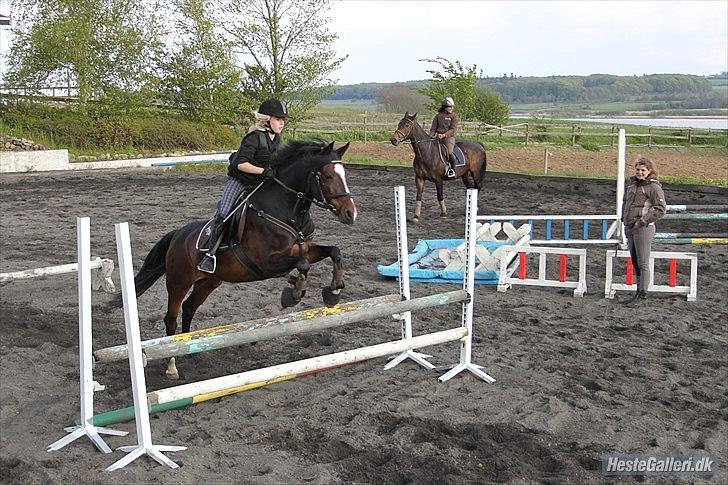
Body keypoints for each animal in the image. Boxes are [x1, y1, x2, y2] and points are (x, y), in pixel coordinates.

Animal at [125, 139, 357, 379]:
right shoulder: (267, 263)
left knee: (189, 307)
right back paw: (172, 365)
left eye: (344, 175)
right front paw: (294, 293)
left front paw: (333, 291)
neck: (288, 212)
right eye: (328, 176)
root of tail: (178, 235)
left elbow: (334, 252)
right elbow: (303, 265)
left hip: (208, 282)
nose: (351, 214)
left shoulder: (305, 249)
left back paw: (188, 349)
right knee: (171, 318)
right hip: (178, 281)